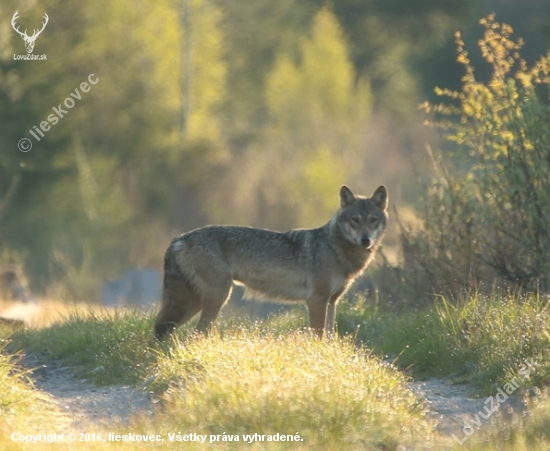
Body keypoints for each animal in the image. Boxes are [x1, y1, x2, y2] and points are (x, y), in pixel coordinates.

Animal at [153, 185, 390, 340]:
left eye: (373, 220)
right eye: (355, 220)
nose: (366, 240)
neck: (334, 248)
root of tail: (179, 239)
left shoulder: (332, 302)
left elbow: (330, 337)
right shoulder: (316, 300)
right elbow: (319, 336)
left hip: (195, 302)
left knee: (164, 328)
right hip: (217, 296)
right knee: (195, 332)